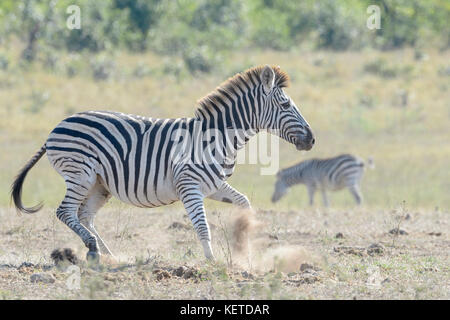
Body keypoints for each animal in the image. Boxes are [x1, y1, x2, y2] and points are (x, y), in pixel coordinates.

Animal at [9, 65, 312, 262]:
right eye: (286, 105)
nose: (312, 139)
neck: (216, 137)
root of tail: (57, 126)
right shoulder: (189, 184)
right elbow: (201, 225)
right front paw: (212, 261)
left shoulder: (213, 186)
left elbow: (244, 203)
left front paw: (243, 249)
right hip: (80, 173)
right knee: (65, 212)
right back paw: (94, 247)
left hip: (98, 184)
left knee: (84, 215)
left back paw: (107, 255)